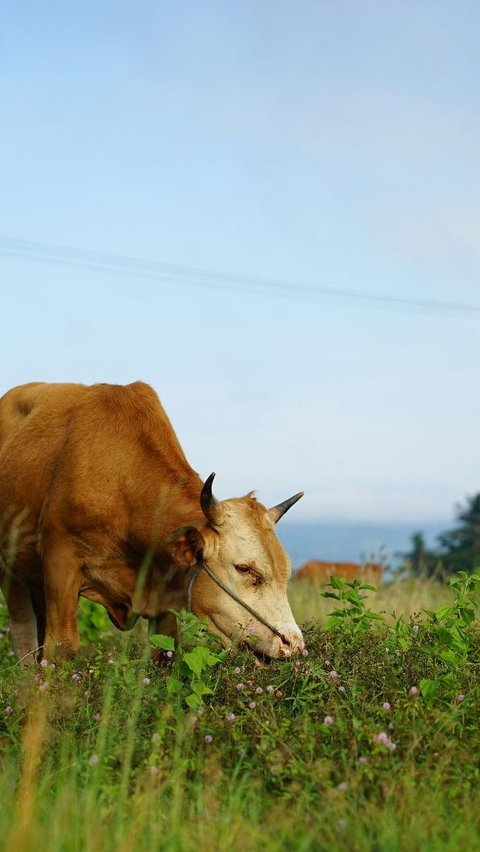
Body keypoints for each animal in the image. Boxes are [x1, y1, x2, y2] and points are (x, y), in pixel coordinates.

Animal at [0, 382, 306, 664]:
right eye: (245, 569)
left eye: (286, 574)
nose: (293, 644)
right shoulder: (60, 566)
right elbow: (61, 648)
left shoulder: (164, 599)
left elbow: (163, 653)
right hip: (11, 571)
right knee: (23, 635)